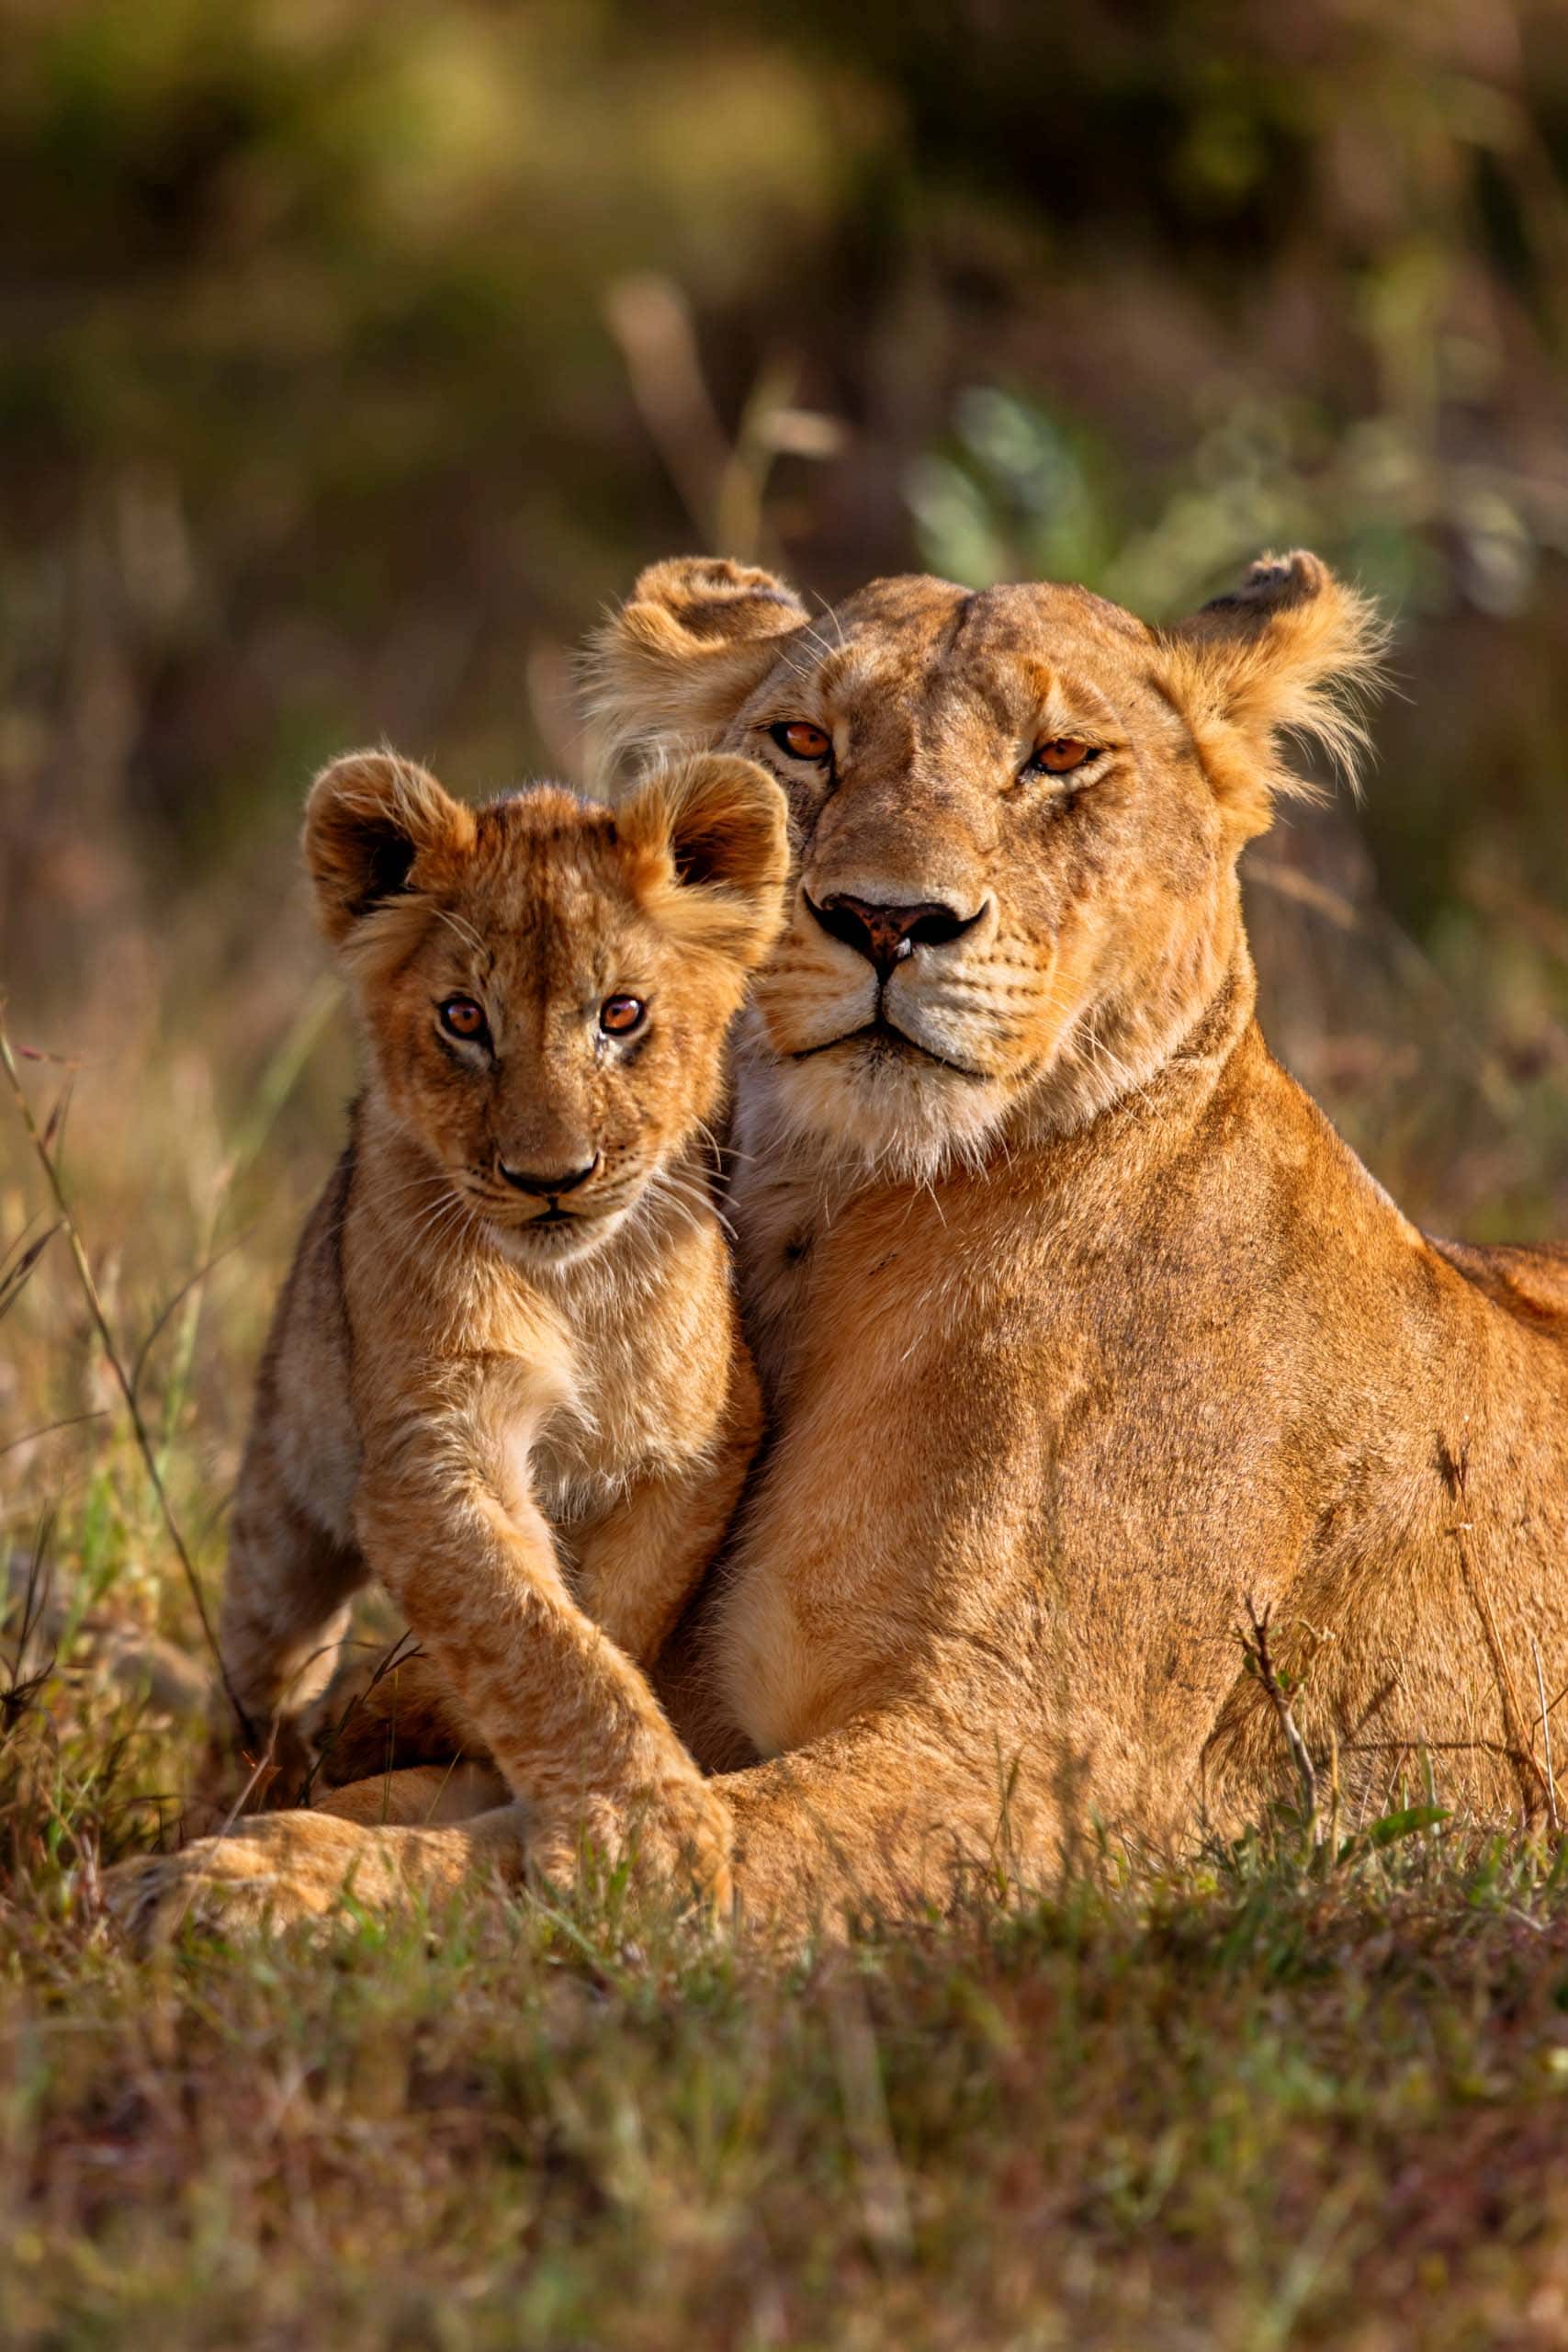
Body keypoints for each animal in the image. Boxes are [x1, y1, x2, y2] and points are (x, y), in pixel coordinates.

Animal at [106, 552, 1568, 1944]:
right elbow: (510, 1745)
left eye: (1059, 756)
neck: (844, 1220)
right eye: (804, 741)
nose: (885, 920)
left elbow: (611, 1848)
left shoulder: (1031, 1766)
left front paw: (242, 1887)